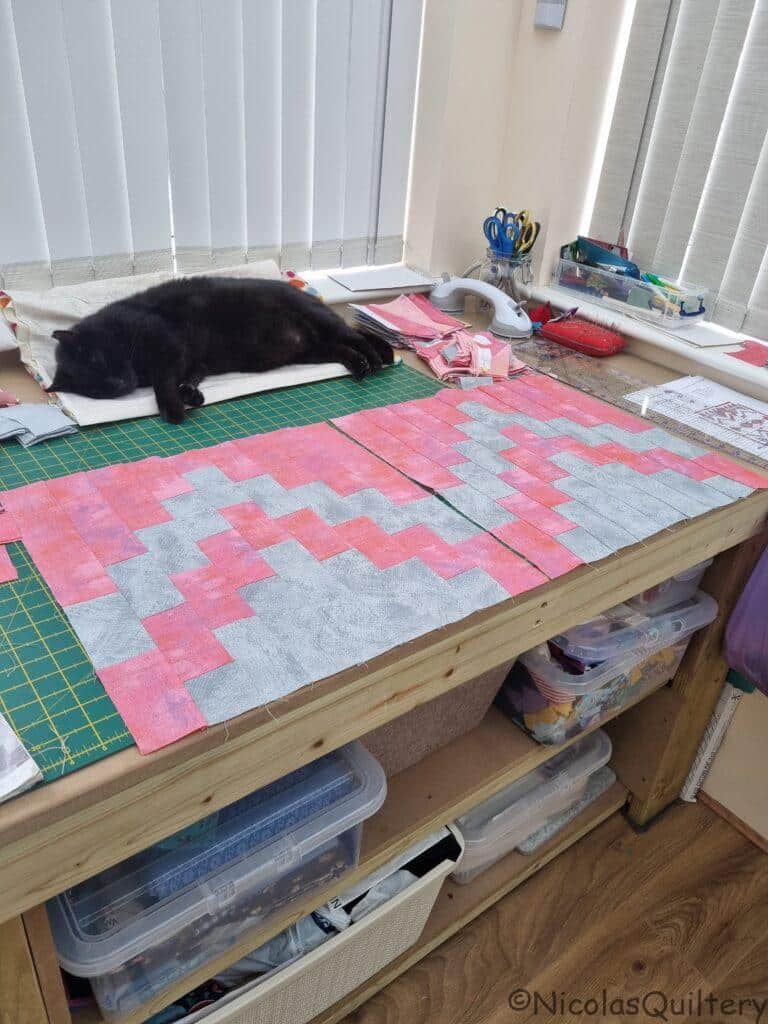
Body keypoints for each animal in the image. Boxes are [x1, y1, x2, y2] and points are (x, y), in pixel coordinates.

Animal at [46, 276, 395, 423]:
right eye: (96, 390)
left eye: (98, 360)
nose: (117, 383)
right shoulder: (191, 361)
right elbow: (185, 379)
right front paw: (191, 397)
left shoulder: (166, 345)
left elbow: (164, 380)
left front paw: (172, 410)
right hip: (313, 351)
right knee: (344, 347)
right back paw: (361, 365)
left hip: (320, 321)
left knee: (356, 334)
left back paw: (377, 360)